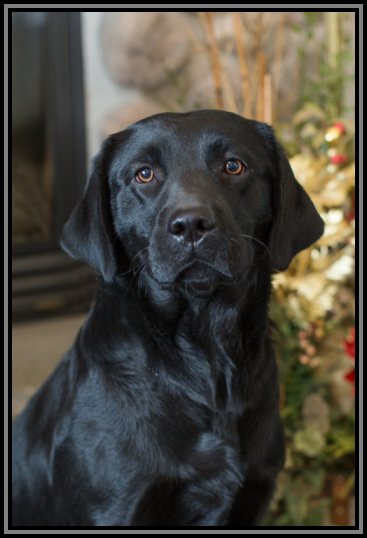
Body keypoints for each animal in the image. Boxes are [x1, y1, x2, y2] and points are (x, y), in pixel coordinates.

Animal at [11, 109, 324, 524]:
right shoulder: (115, 509)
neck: (204, 361)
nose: (191, 224)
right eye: (144, 174)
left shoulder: (253, 497)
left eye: (234, 165)